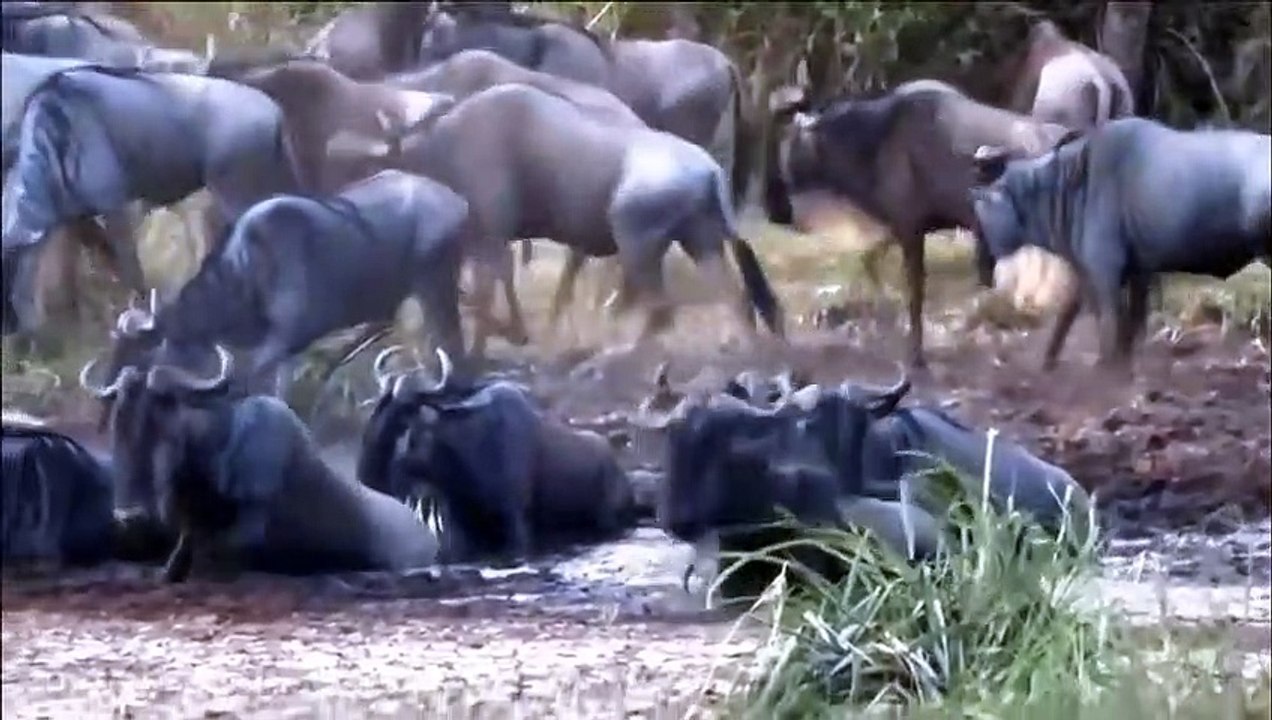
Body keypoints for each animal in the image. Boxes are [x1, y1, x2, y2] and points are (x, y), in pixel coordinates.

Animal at [1, 64, 302, 335]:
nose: (10, 333)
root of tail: (274, 111)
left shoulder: (118, 207)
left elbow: (129, 264)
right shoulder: (73, 220)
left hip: (235, 192)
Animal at [89, 169, 470, 400]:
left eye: (141, 350)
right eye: (116, 347)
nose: (105, 391)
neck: (247, 268)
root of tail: (456, 201)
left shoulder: (283, 340)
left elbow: (254, 384)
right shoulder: (284, 349)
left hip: (436, 285)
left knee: (451, 344)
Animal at [369, 83, 784, 359]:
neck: (444, 147)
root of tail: (710, 169)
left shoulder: (489, 237)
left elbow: (485, 296)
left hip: (638, 242)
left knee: (661, 309)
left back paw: (620, 352)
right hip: (700, 242)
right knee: (736, 298)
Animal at [764, 82, 1074, 368]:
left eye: (787, 143)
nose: (776, 210)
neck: (867, 148)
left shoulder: (909, 223)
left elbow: (914, 293)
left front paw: (916, 354)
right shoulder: (907, 223)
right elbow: (870, 260)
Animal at [970, 116, 1272, 373]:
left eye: (982, 216)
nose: (986, 261)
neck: (1070, 182)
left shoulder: (1104, 273)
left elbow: (1110, 322)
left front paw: (1108, 370)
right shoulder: (1126, 272)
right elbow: (1108, 320)